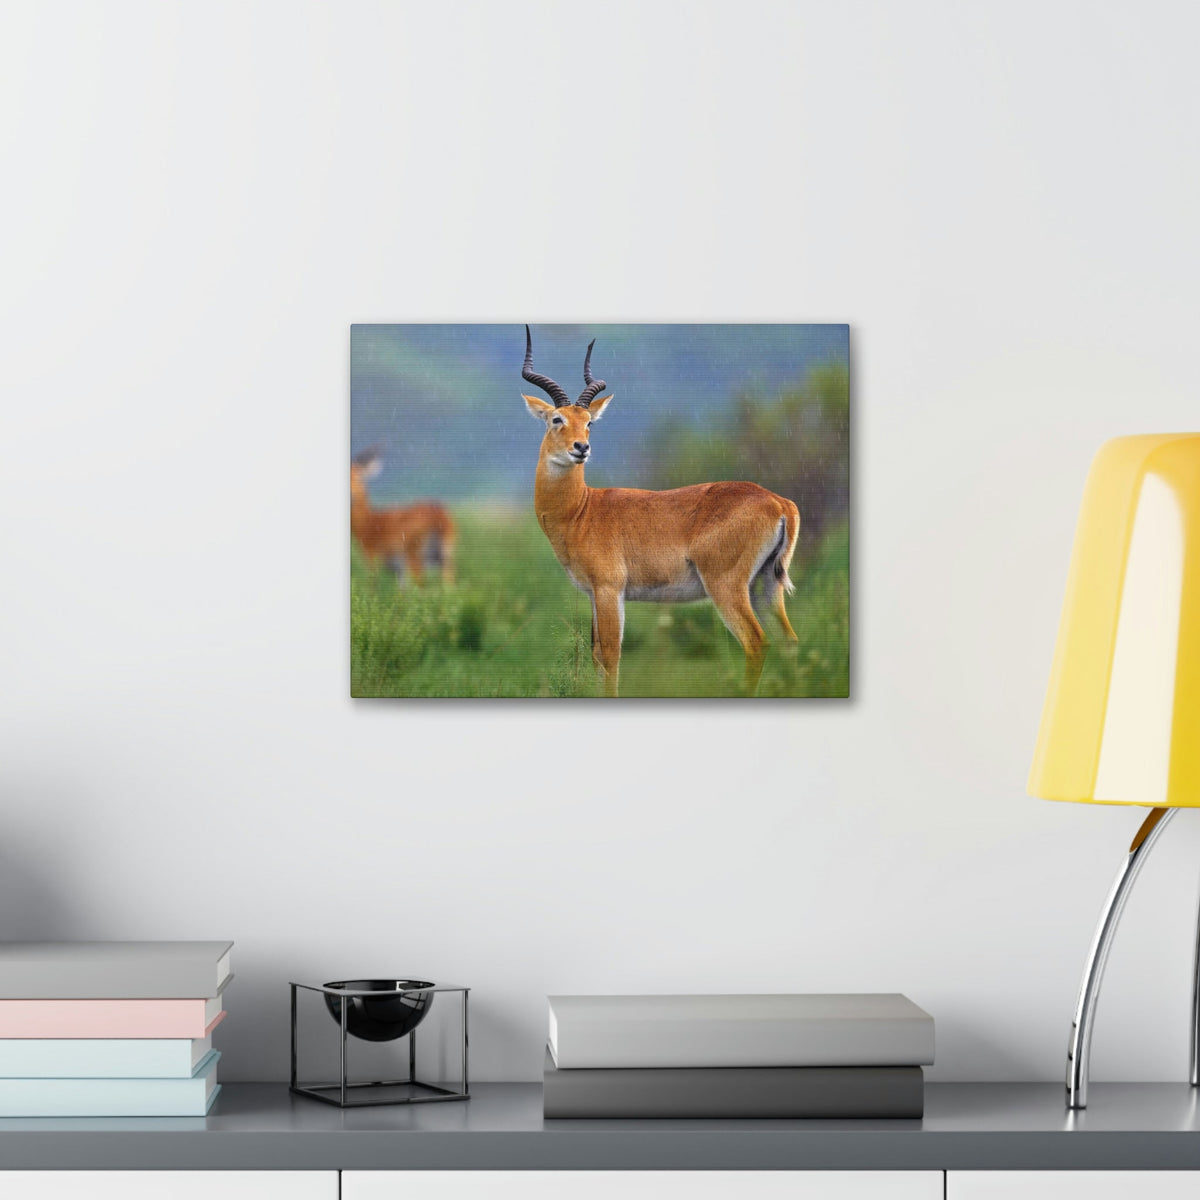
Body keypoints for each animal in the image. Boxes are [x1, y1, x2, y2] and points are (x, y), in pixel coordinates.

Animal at [350, 448, 456, 585]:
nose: (351, 495)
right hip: (445, 556)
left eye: (357, 475)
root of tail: (438, 515)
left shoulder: (372, 558)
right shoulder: (399, 570)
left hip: (415, 556)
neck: (369, 522)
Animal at [521, 326, 799, 697]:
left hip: (727, 586)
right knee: (789, 642)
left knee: (757, 642)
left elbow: (610, 655)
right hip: (766, 584)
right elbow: (596, 654)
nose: (581, 448)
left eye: (589, 422)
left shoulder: (609, 589)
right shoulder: (594, 593)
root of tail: (778, 502)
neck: (581, 510)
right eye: (557, 418)